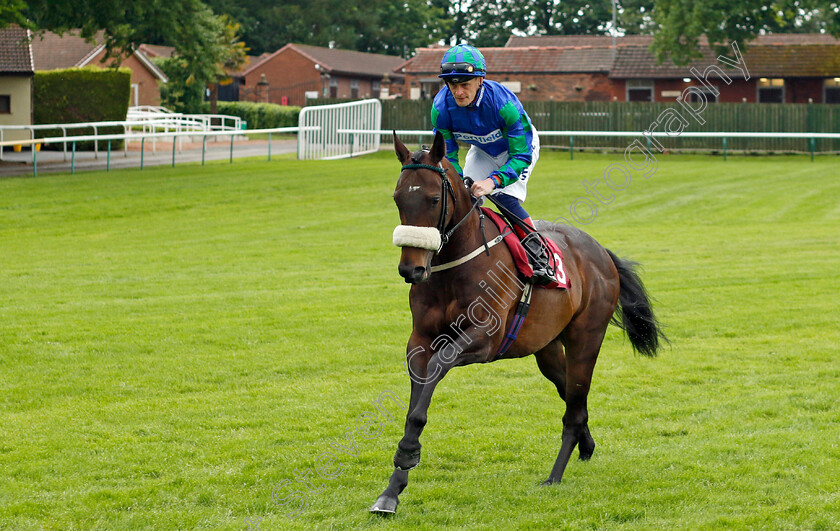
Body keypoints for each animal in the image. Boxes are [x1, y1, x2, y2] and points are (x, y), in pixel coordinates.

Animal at [370, 132, 668, 516]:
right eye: (397, 198)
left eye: (434, 198)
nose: (412, 269)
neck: (455, 266)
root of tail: (601, 251)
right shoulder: (419, 340)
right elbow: (416, 399)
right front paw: (392, 488)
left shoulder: (484, 339)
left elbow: (435, 372)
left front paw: (407, 455)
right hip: (547, 347)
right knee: (571, 395)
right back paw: (586, 445)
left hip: (586, 337)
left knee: (575, 402)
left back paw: (554, 476)